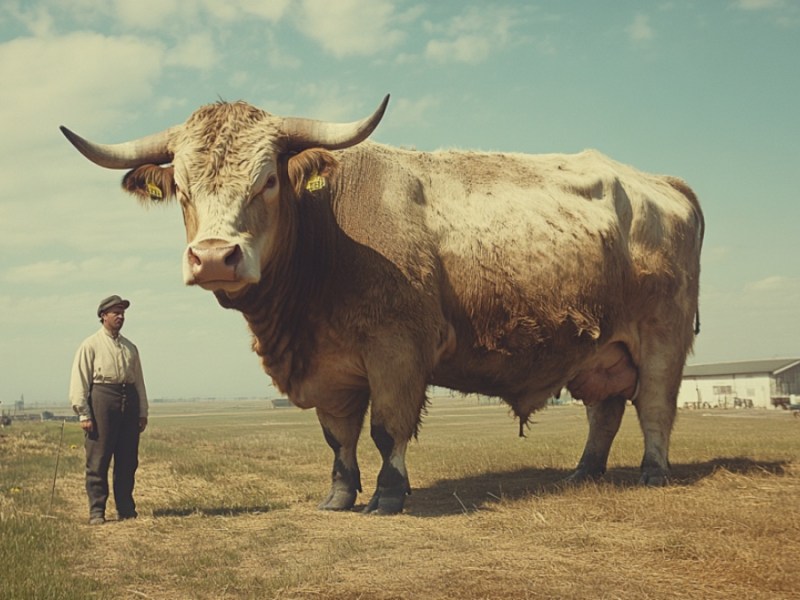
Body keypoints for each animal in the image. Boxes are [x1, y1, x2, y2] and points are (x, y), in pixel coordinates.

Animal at [61, 96, 700, 512]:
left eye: (268, 180)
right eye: (183, 190)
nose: (215, 256)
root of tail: (660, 183)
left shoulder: (397, 350)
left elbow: (388, 427)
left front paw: (390, 495)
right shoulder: (331, 369)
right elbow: (339, 435)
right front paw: (340, 495)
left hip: (663, 338)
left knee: (654, 408)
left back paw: (652, 473)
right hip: (602, 348)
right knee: (605, 410)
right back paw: (583, 473)